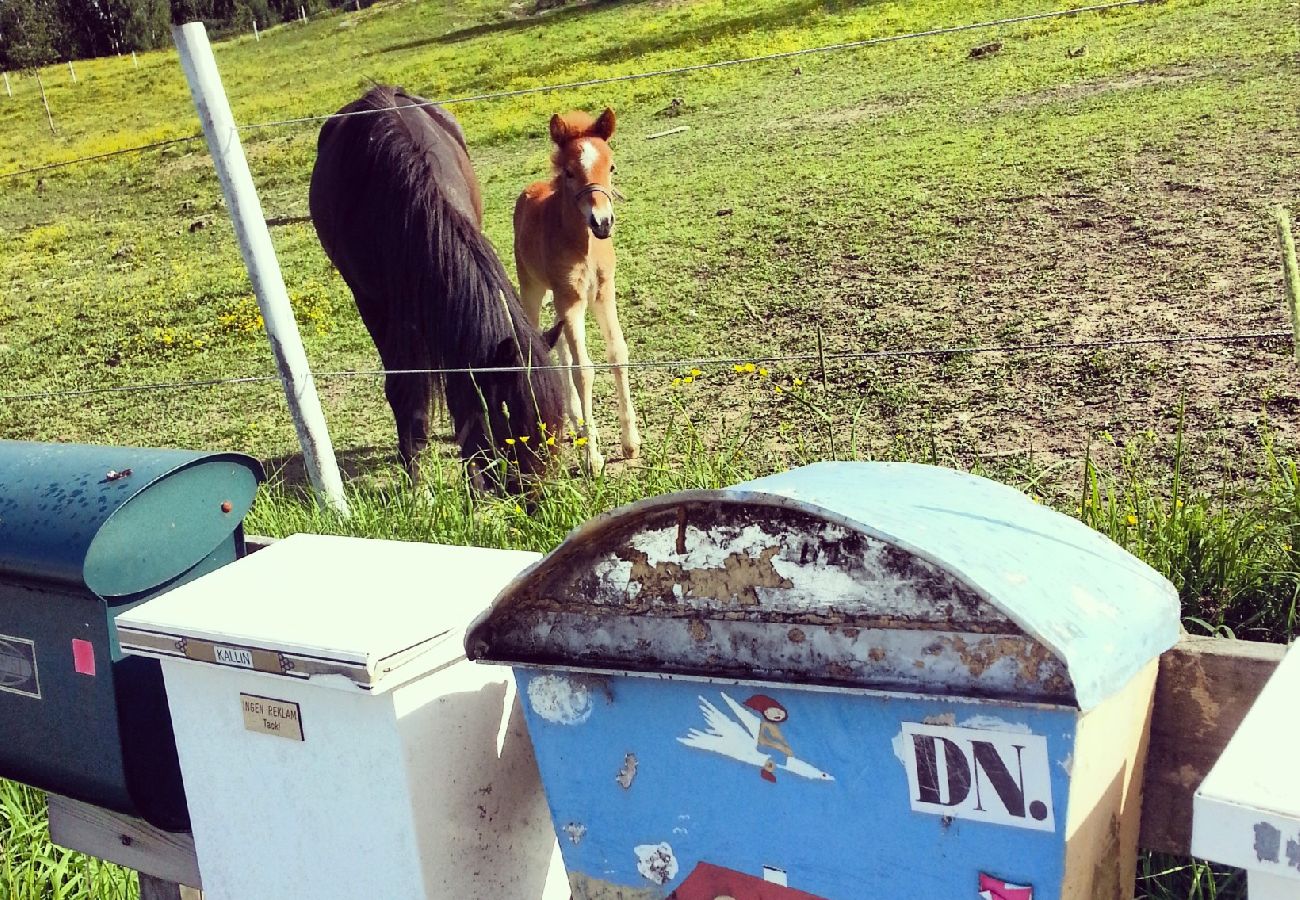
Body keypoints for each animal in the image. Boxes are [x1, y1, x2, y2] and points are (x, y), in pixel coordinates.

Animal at [514, 107, 642, 468]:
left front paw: (630, 443)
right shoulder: (570, 298)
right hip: (533, 289)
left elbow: (618, 354)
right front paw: (593, 458)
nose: (603, 222)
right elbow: (582, 369)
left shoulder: (602, 292)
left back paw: (576, 422)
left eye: (611, 167)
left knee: (560, 346)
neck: (583, 244)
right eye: (570, 172)